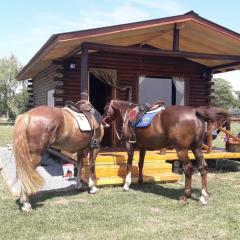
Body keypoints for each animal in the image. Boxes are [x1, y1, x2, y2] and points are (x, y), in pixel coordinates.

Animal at [102, 99, 230, 204]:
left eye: (105, 108)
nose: (103, 123)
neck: (129, 113)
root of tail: (195, 111)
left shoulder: (130, 145)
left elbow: (129, 164)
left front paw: (126, 185)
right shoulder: (142, 147)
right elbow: (140, 164)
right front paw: (140, 182)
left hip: (182, 149)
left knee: (188, 169)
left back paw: (185, 197)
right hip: (197, 148)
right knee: (203, 167)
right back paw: (203, 196)